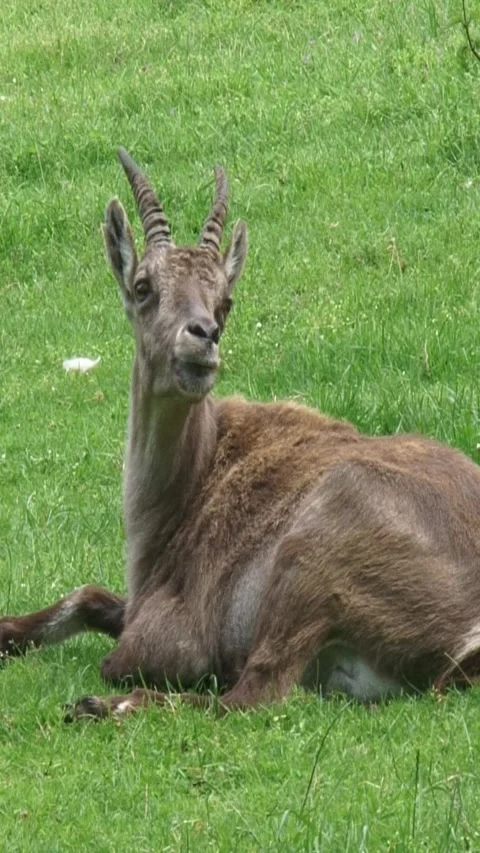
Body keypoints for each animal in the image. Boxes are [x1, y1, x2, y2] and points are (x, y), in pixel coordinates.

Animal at [2, 148, 480, 721]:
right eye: (144, 287)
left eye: (223, 302)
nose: (202, 337)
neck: (185, 489)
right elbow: (89, 596)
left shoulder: (174, 631)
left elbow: (124, 655)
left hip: (313, 556)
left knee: (251, 693)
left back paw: (99, 705)